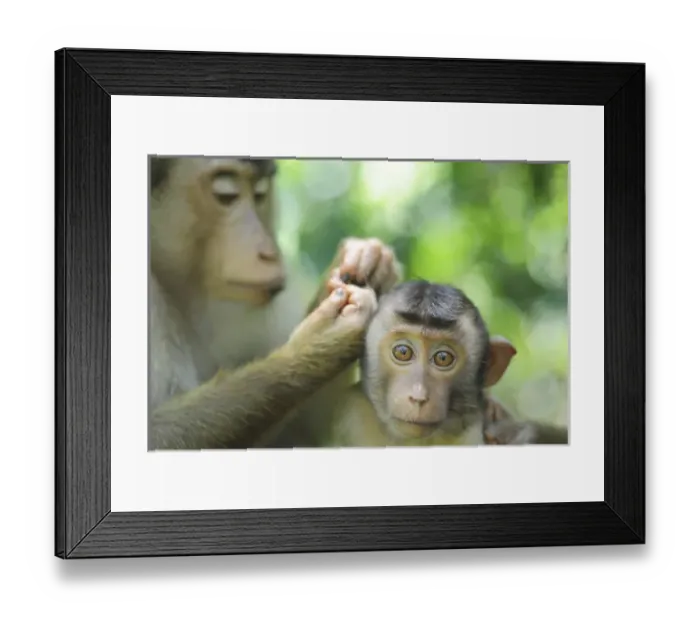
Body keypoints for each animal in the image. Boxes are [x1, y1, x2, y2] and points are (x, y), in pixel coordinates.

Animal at [147, 156, 401, 450]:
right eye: (226, 196)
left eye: (259, 195)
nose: (269, 253)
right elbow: (157, 434)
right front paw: (313, 347)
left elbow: (302, 431)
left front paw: (368, 260)